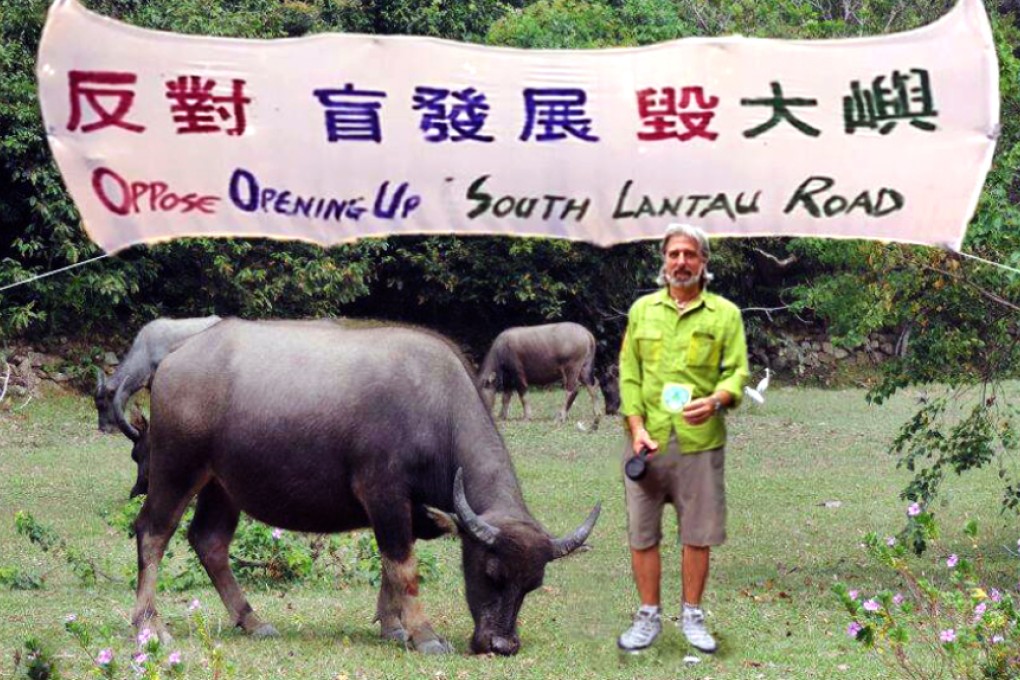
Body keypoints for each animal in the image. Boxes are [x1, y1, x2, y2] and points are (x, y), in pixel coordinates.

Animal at [477, 324, 612, 430]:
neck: (501, 351)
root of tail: (588, 334)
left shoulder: (518, 375)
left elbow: (523, 396)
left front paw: (527, 417)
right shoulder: (508, 378)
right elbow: (505, 397)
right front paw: (502, 416)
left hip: (571, 368)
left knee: (572, 389)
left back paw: (560, 416)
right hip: (584, 368)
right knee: (592, 385)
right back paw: (596, 413)